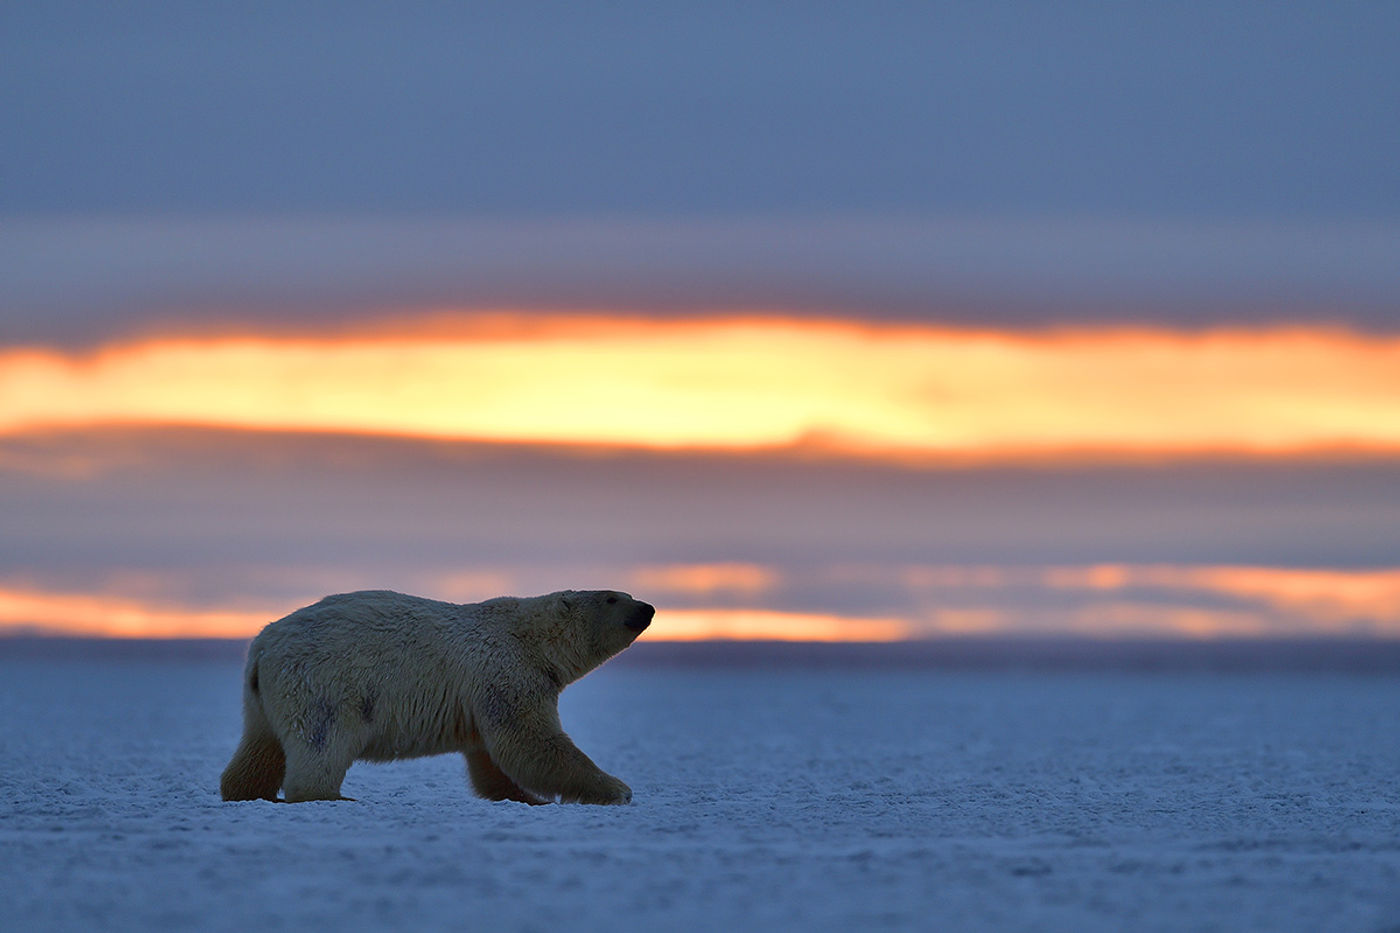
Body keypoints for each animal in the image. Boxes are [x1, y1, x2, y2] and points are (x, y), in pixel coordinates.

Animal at [219, 588, 655, 801]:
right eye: (613, 598)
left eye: (625, 593)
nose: (648, 608)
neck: (530, 637)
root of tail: (263, 646)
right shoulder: (507, 671)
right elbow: (530, 742)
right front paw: (616, 789)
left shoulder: (485, 694)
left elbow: (492, 760)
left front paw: (529, 798)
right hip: (324, 685)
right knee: (322, 741)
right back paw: (329, 796)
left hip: (260, 697)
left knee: (260, 745)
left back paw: (246, 791)